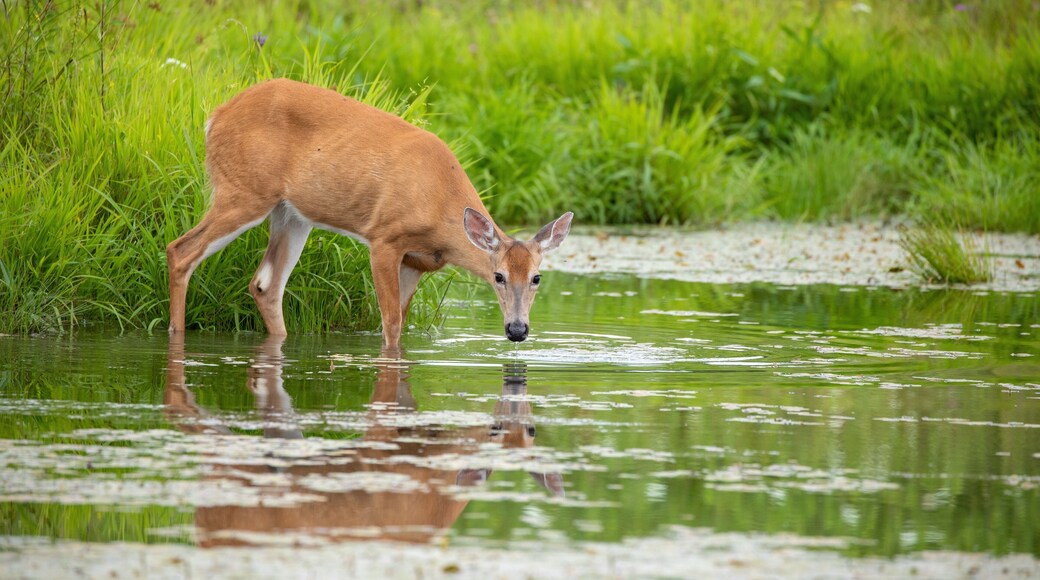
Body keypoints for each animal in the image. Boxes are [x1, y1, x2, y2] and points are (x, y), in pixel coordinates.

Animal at [167, 78, 573, 348]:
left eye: (537, 278)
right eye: (498, 276)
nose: (517, 330)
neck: (440, 204)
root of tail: (215, 117)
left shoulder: (417, 261)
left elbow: (400, 322)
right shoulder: (385, 238)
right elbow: (390, 323)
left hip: (291, 215)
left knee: (266, 284)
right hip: (244, 190)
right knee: (181, 251)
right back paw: (176, 337)